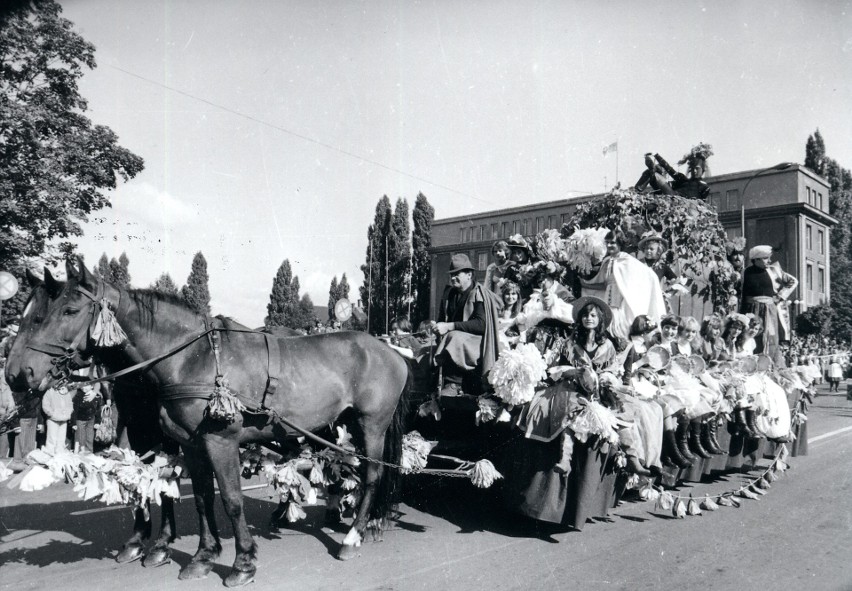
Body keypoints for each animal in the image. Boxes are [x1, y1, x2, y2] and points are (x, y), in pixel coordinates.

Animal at [5, 260, 412, 588]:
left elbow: (230, 499)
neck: (190, 356)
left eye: (69, 309)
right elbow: (199, 497)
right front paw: (202, 555)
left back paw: (353, 536)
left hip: (371, 425)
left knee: (372, 475)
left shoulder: (220, 440)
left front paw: (243, 562)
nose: (16, 374)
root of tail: (391, 350)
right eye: (28, 311)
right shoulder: (188, 442)